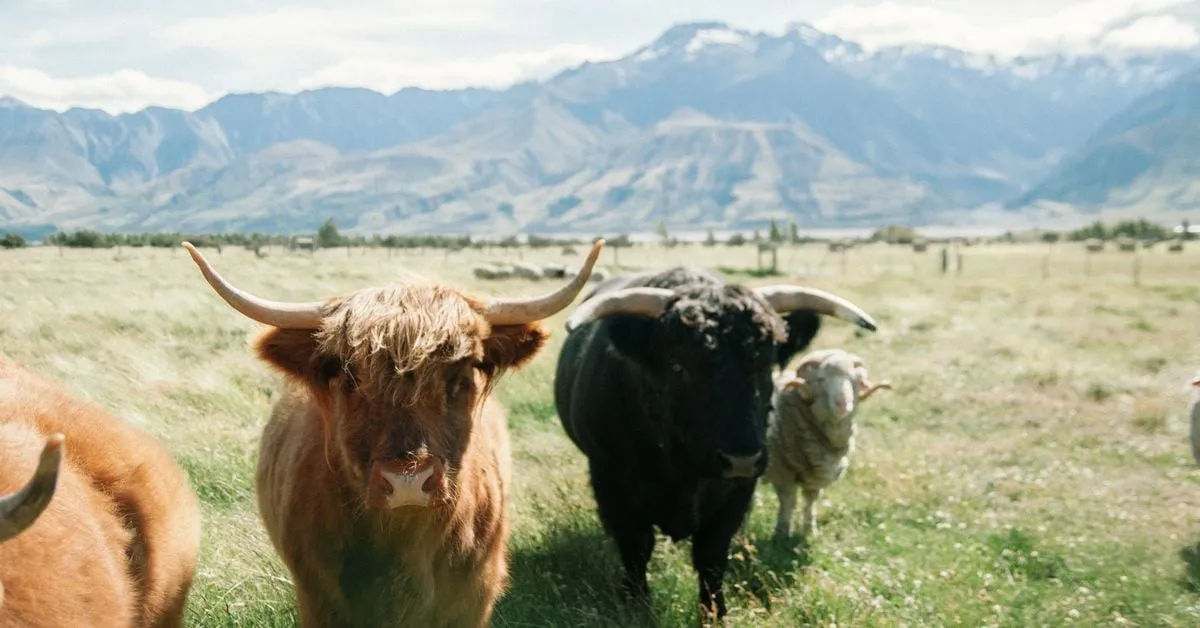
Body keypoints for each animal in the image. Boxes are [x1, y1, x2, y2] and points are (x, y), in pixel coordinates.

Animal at [763, 348, 888, 540]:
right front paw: (781, 533)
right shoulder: (781, 470)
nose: (843, 404)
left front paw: (810, 531)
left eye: (855, 380)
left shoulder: (813, 476)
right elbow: (788, 502)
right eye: (821, 379)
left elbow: (810, 502)